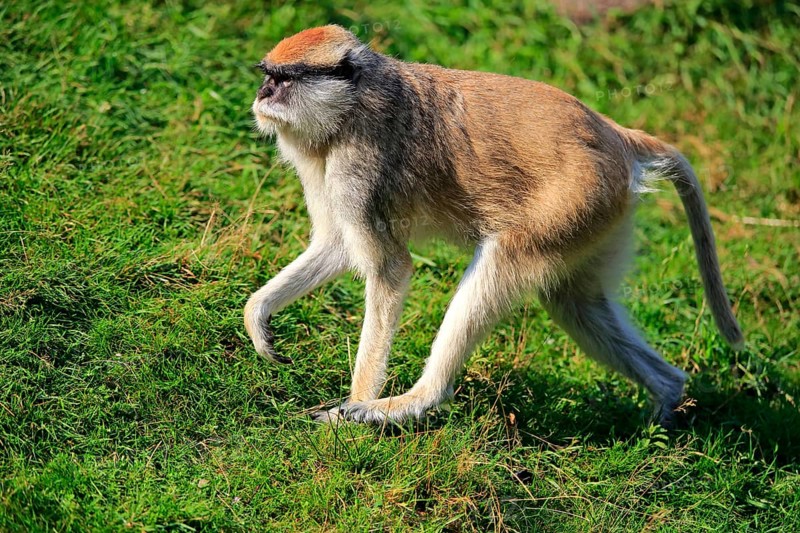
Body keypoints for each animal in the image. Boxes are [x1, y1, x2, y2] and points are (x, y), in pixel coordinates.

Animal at [243, 25, 744, 427]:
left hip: (578, 199)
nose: (262, 94)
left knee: (504, 262)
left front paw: (355, 404)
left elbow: (390, 269)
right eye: (267, 75)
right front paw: (258, 316)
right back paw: (667, 398)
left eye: (283, 79)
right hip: (598, 217)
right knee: (575, 303)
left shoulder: (357, 165)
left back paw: (413, 403)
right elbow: (336, 246)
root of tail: (615, 135)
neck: (352, 104)